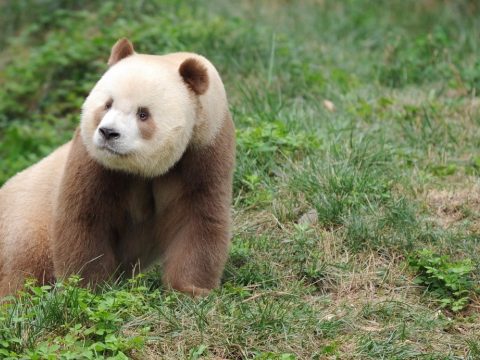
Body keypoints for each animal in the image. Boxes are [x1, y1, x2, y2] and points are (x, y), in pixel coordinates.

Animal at [0, 38, 234, 296]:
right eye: (107, 104)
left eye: (143, 113)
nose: (108, 133)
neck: (143, 169)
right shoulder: (92, 159)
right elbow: (86, 218)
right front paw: (87, 289)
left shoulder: (204, 150)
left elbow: (198, 218)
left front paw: (191, 289)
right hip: (26, 222)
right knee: (23, 269)